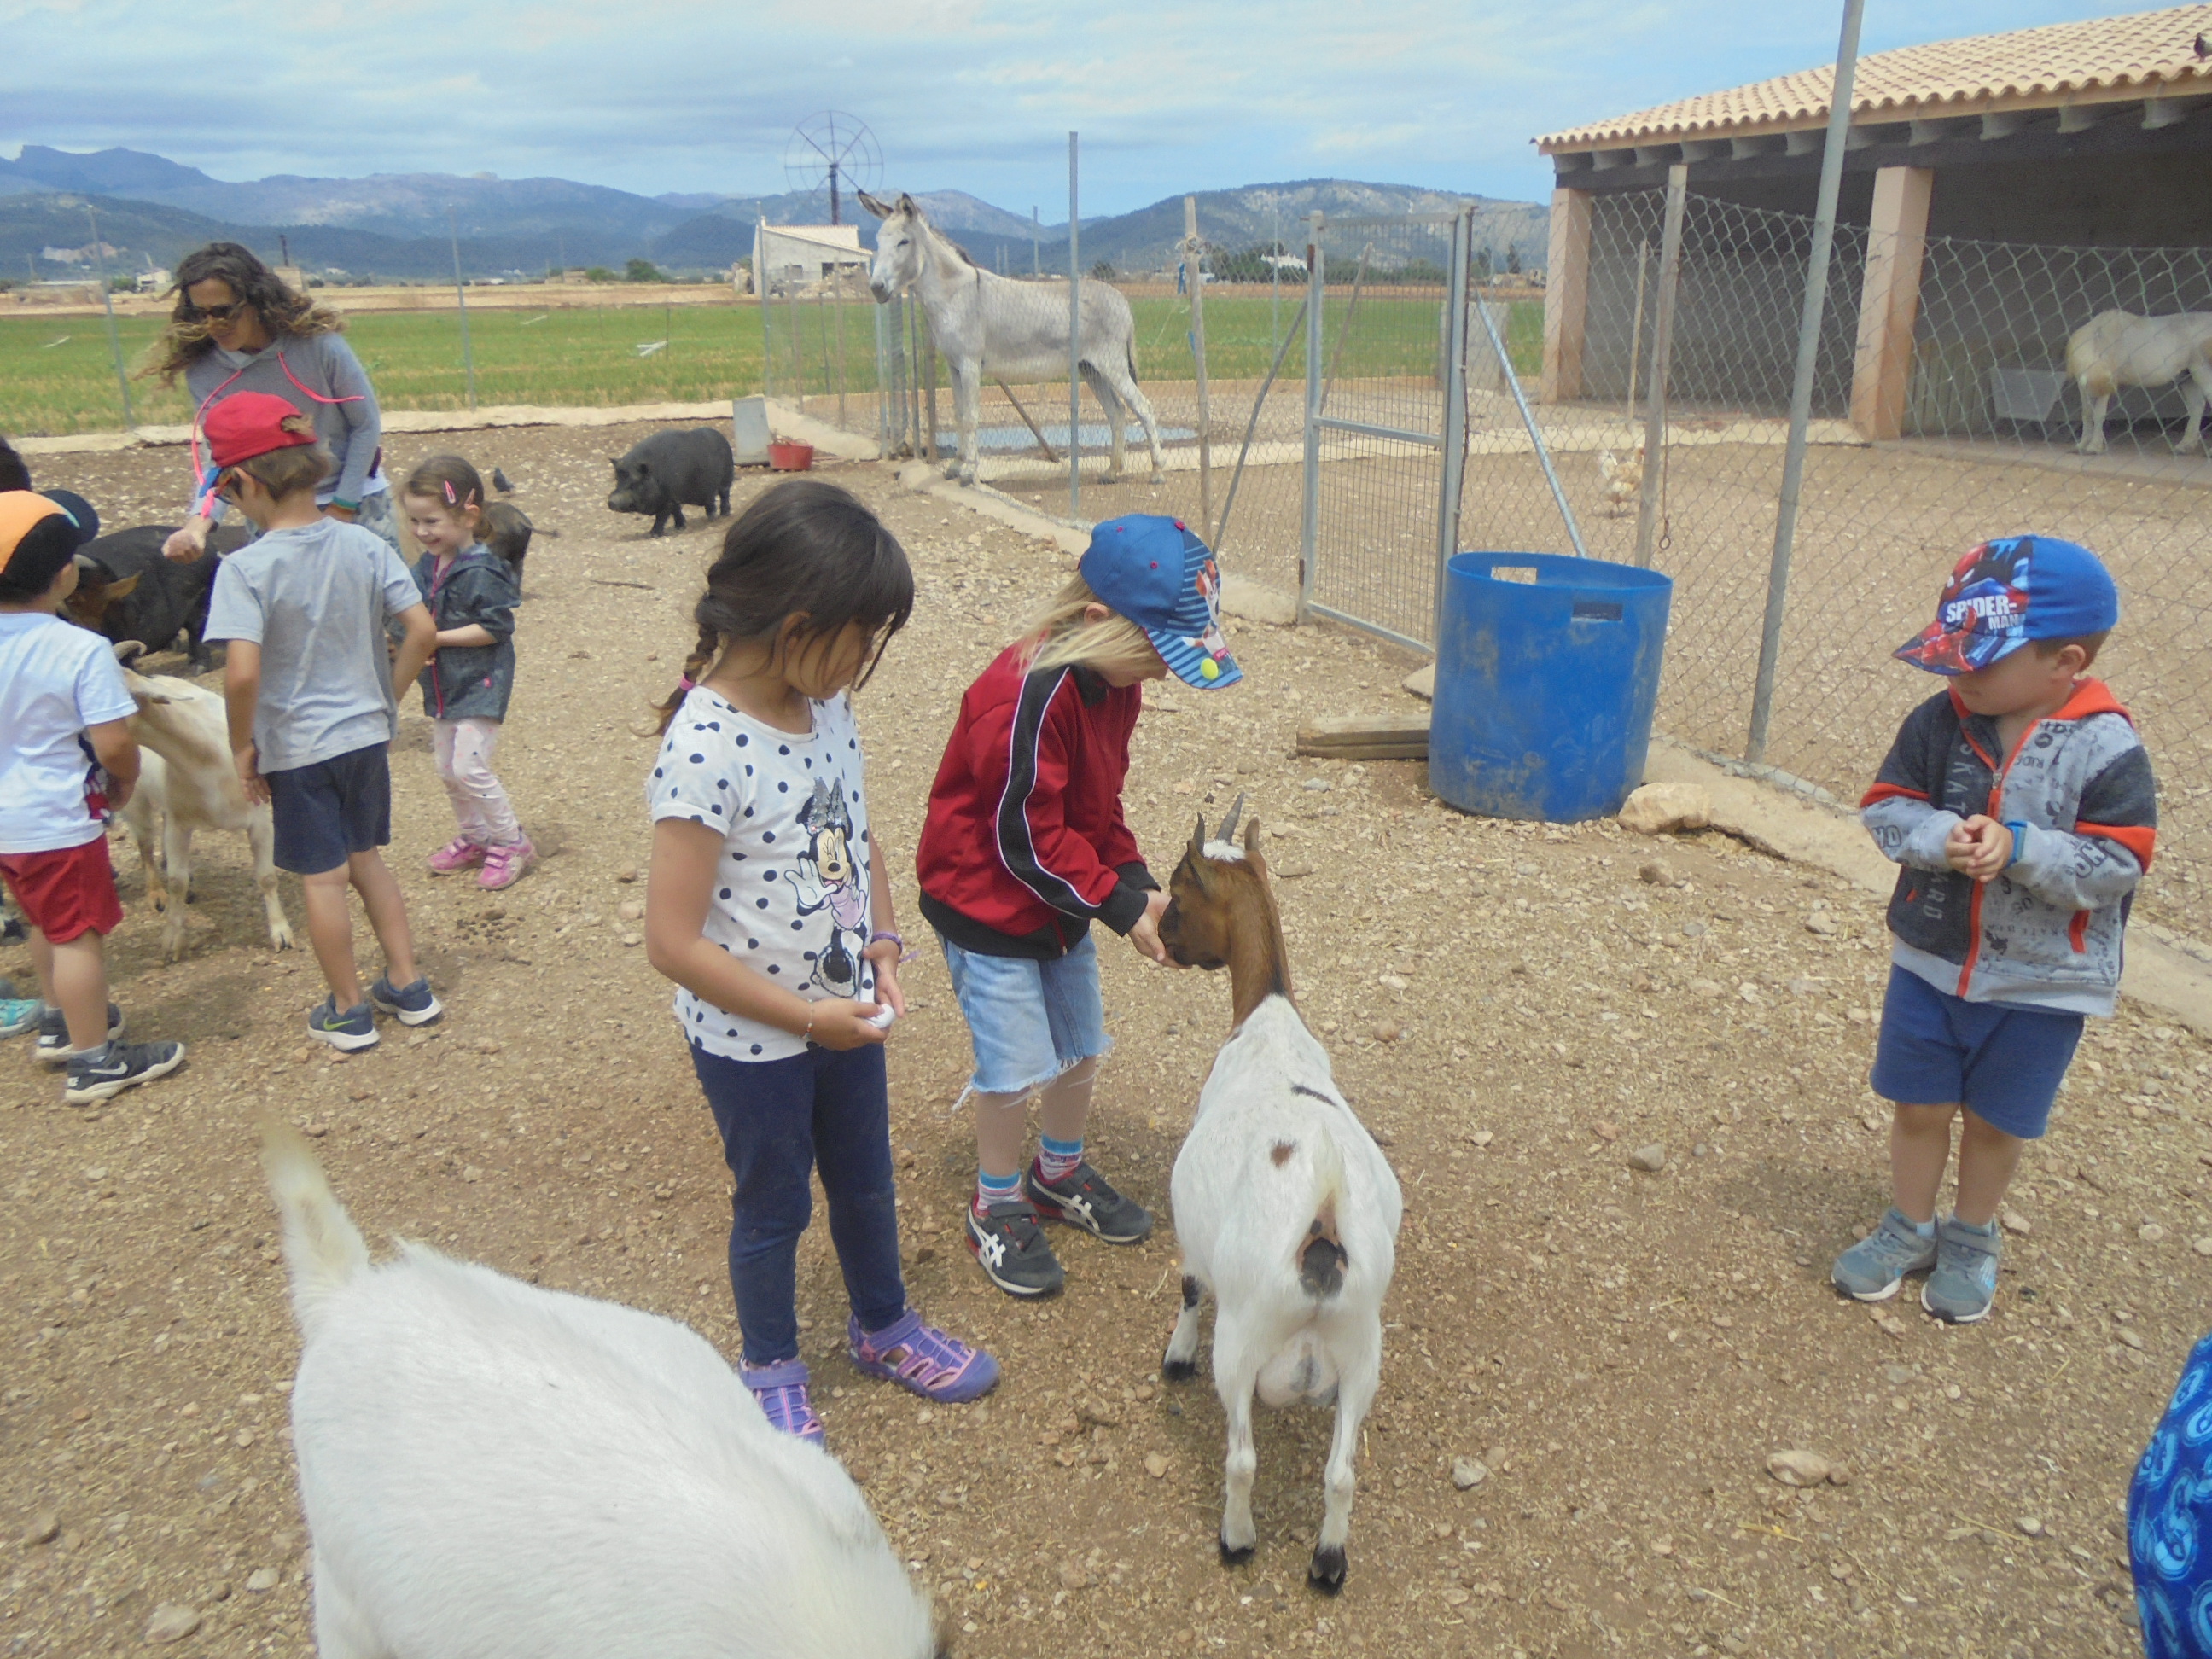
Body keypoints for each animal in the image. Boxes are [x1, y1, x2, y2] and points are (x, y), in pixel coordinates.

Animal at [114, 650, 296, 959]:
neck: (206, 760)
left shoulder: (259, 819)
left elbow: (267, 877)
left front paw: (281, 934)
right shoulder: (179, 824)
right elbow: (176, 882)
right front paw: (172, 940)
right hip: (135, 796)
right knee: (145, 843)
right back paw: (156, 894)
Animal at [606, 424, 734, 535]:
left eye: (634, 482)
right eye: (617, 479)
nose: (612, 501)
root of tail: (722, 438)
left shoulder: (668, 500)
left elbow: (661, 516)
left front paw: (653, 534)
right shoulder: (674, 498)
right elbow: (676, 512)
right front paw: (680, 527)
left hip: (726, 478)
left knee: (724, 496)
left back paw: (722, 516)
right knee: (711, 501)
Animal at [1159, 805, 1398, 1601]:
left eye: (1178, 891)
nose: (1163, 937)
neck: (1268, 1019)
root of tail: (1321, 1215)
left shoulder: (1193, 1236)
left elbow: (1188, 1283)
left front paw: (1174, 1354)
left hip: (1243, 1342)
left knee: (1241, 1459)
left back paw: (1236, 1539)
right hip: (1362, 1353)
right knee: (1343, 1473)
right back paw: (1328, 1562)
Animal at [2052, 309, 2212, 455]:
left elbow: (2098, 414)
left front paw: (2094, 447)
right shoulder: (2085, 387)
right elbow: (2086, 413)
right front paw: (2081, 445)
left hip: (2202, 371)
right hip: (2187, 377)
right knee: (2197, 407)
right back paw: (2184, 447)